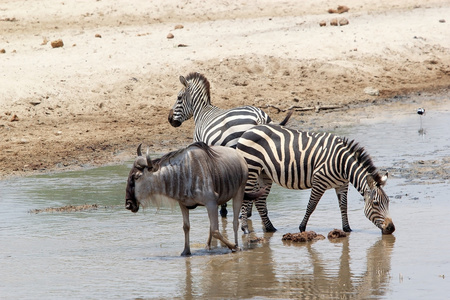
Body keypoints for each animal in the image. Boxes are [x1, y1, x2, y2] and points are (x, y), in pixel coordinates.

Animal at [169, 72, 292, 218]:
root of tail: (259, 116)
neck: (202, 112)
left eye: (179, 97)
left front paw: (223, 209)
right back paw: (250, 210)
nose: (170, 120)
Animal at [237, 123, 396, 234]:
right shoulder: (319, 181)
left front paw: (347, 229)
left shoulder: (342, 184)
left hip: (264, 174)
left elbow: (343, 206)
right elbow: (311, 205)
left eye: (388, 202)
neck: (343, 164)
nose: (391, 228)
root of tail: (249, 130)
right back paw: (245, 229)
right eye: (375, 203)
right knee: (246, 198)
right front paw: (302, 227)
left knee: (260, 201)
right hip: (252, 169)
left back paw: (270, 229)